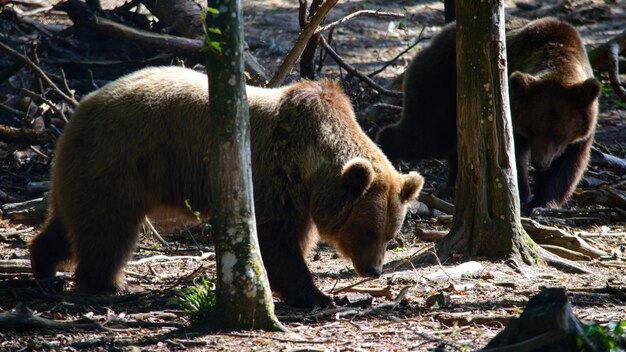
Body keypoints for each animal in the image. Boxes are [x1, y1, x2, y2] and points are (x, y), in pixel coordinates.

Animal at [26, 66, 422, 308]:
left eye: (390, 235)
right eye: (368, 230)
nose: (374, 270)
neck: (310, 162)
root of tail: (79, 106)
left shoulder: (299, 196)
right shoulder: (271, 176)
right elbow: (275, 242)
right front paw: (318, 295)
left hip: (89, 169)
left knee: (71, 223)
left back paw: (44, 266)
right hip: (119, 160)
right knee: (108, 229)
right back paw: (110, 284)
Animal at [376, 17, 600, 210]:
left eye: (559, 133)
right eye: (532, 129)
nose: (540, 162)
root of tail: (435, 38)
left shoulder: (581, 130)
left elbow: (567, 165)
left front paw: (543, 201)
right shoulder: (508, 112)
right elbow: (510, 158)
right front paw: (522, 196)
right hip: (441, 83)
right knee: (427, 134)